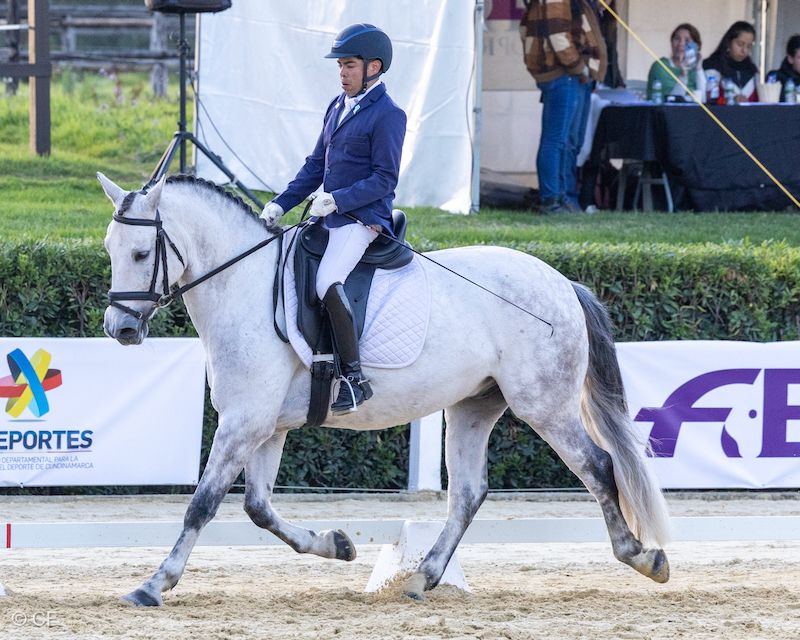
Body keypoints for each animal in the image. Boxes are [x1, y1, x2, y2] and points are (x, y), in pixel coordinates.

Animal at [97, 172, 671, 606]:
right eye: (109, 248)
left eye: (142, 253)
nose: (119, 329)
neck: (243, 287)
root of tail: (562, 283)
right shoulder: (263, 426)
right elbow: (259, 509)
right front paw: (338, 544)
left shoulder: (243, 423)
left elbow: (202, 504)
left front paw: (154, 584)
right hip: (473, 406)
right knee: (469, 493)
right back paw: (422, 577)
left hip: (544, 405)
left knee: (598, 466)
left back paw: (643, 557)